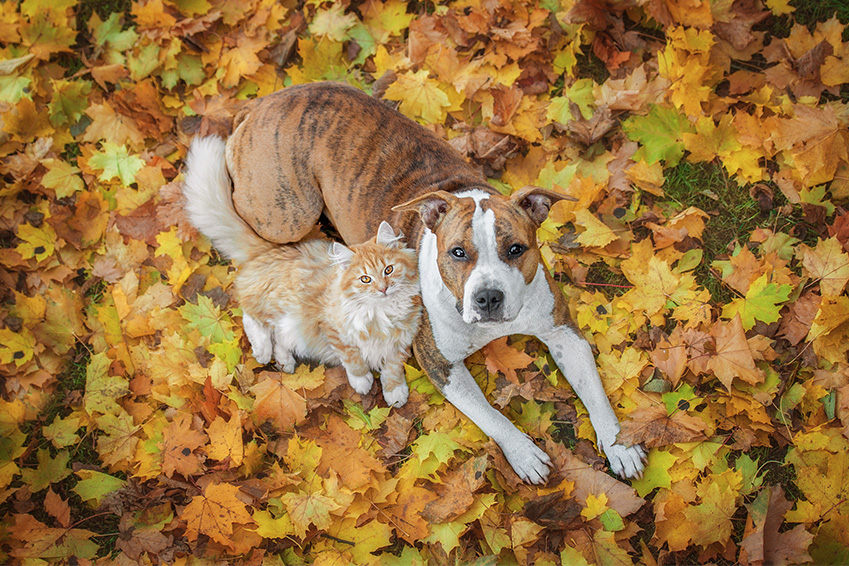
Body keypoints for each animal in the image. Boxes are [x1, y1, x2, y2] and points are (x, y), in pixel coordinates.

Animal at [181, 135, 420, 406]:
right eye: (365, 279)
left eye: (389, 269)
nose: (383, 288)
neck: (381, 315)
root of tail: (272, 248)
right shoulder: (332, 328)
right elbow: (353, 359)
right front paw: (362, 382)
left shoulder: (401, 342)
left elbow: (393, 369)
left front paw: (395, 393)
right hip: (278, 305)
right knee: (251, 317)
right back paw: (262, 351)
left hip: (290, 326)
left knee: (278, 338)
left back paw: (284, 362)